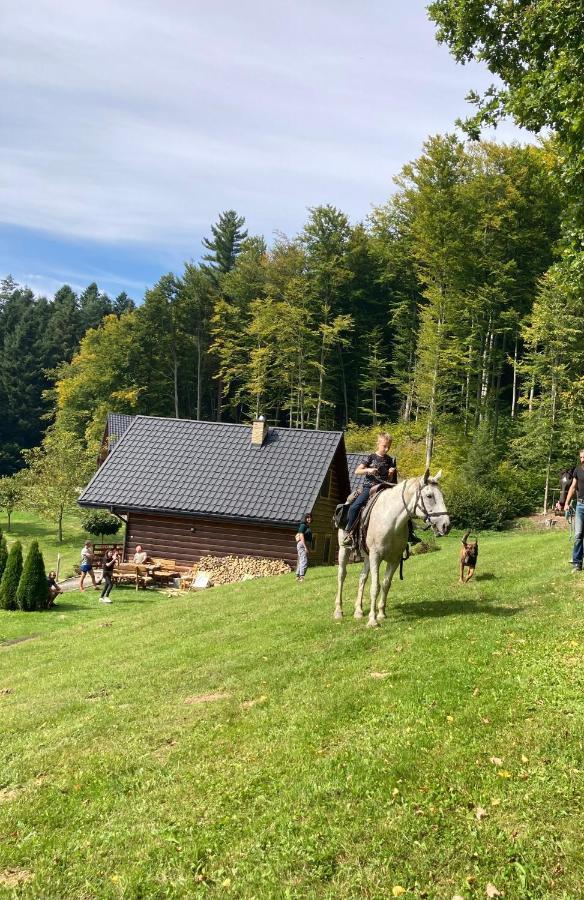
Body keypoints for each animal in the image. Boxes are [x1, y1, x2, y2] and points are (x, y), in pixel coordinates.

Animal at [334, 472, 452, 624]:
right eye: (429, 496)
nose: (446, 525)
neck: (390, 519)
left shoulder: (394, 559)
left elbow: (386, 584)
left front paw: (381, 614)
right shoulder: (376, 556)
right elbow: (375, 587)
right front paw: (372, 620)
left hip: (366, 556)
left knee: (362, 577)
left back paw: (359, 611)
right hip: (344, 550)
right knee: (341, 576)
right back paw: (338, 611)